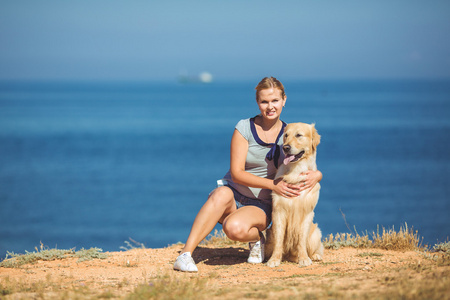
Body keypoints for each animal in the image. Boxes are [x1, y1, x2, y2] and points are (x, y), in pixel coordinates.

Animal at [264, 122, 324, 268]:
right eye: (286, 135)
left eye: (299, 135)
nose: (285, 147)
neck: (295, 170)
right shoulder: (279, 211)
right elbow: (279, 240)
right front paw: (274, 259)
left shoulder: (307, 212)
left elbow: (301, 239)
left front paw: (303, 258)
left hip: (315, 233)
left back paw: (315, 255)